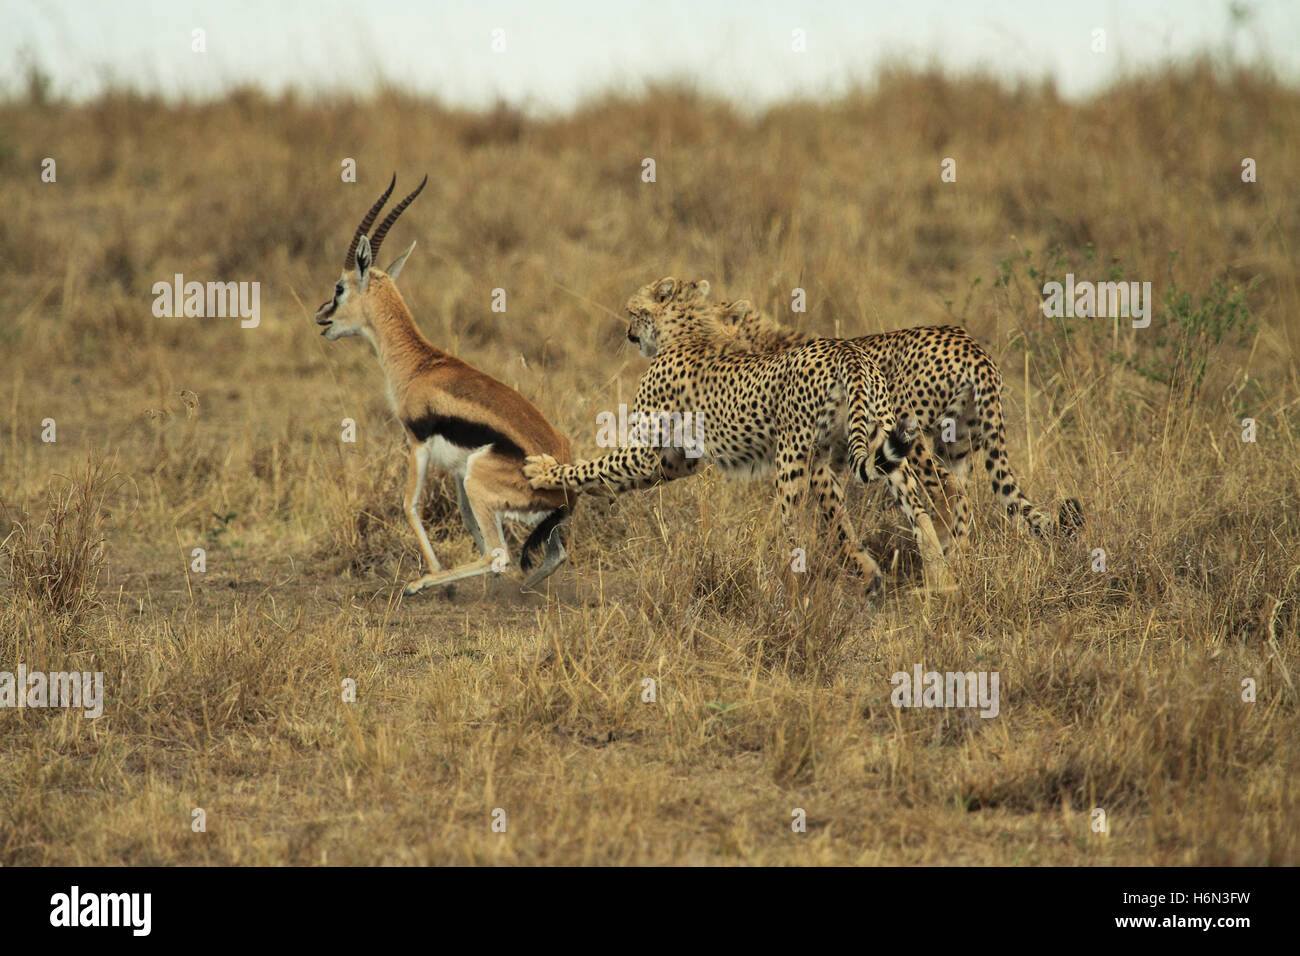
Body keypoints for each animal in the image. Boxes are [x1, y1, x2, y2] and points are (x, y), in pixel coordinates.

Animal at [522, 273, 951, 595]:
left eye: (632, 311)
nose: (628, 333)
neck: (689, 331)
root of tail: (847, 352)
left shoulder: (647, 453)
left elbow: (594, 467)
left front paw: (545, 471)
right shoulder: (674, 463)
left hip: (792, 457)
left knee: (795, 529)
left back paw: (787, 588)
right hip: (879, 443)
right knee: (919, 507)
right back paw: (941, 577)